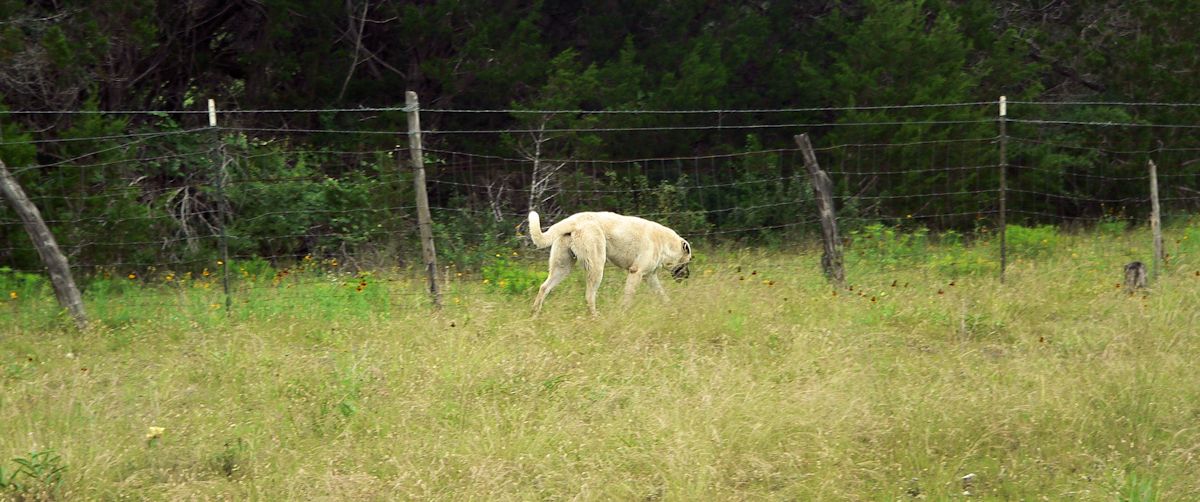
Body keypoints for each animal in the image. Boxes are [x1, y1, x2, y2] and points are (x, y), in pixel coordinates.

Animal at [528, 211, 691, 314]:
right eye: (688, 261)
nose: (688, 276)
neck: (665, 243)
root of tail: (574, 220)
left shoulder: (649, 276)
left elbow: (662, 295)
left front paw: (672, 310)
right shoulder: (636, 272)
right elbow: (628, 297)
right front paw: (624, 313)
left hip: (562, 268)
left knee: (544, 287)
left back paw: (535, 315)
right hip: (597, 267)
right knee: (589, 296)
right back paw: (596, 318)